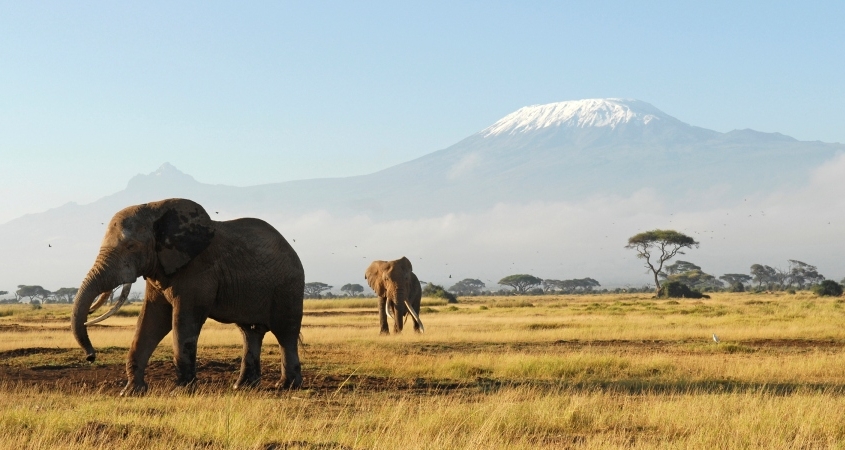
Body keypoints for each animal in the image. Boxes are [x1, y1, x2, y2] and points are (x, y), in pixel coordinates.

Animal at [70, 199, 304, 396]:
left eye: (131, 246)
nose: (91, 357)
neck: (155, 209)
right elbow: (151, 321)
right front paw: (131, 392)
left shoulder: (197, 270)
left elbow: (183, 321)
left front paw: (180, 391)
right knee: (250, 332)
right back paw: (242, 387)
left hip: (288, 287)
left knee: (285, 333)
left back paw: (286, 386)